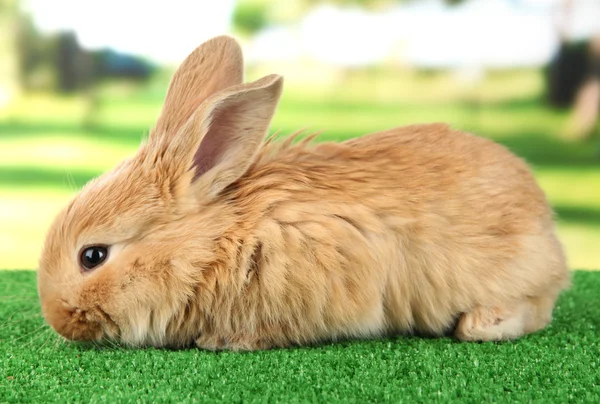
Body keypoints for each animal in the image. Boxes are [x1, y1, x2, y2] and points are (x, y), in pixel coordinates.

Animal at [38, 35, 572, 350]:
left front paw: (224, 342)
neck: (216, 242)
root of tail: (550, 230)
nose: (57, 319)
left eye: (92, 256)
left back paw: (481, 324)